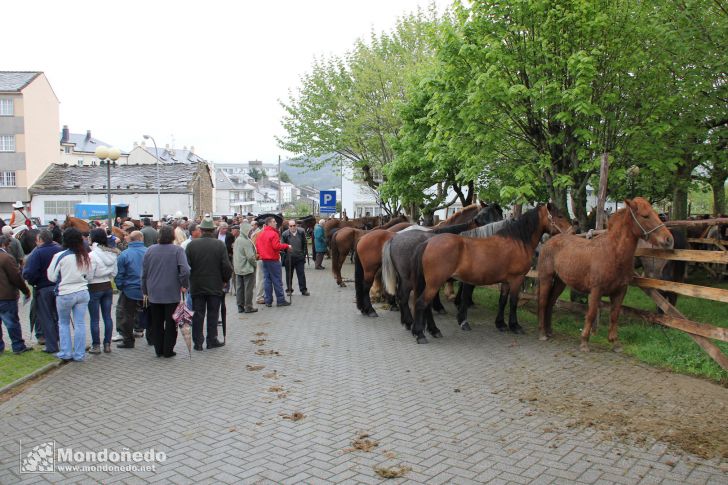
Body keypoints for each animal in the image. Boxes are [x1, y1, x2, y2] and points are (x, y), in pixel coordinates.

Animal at [412, 202, 572, 342]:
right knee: (421, 303)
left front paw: (501, 324)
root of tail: (427, 243)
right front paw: (515, 326)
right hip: (434, 284)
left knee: (426, 306)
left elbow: (502, 301)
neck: (517, 241)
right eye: (560, 216)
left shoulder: (506, 281)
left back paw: (432, 331)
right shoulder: (517, 279)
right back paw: (421, 335)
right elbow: (513, 302)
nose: (572, 232)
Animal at [536, 197, 672, 352]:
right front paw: (584, 342)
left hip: (560, 282)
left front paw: (615, 342)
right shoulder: (596, 291)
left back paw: (549, 330)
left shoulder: (620, 291)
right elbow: (591, 314)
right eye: (645, 216)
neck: (613, 253)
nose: (668, 239)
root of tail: (548, 241)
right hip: (546, 278)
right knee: (543, 302)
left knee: (551, 302)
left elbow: (614, 315)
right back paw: (542, 333)